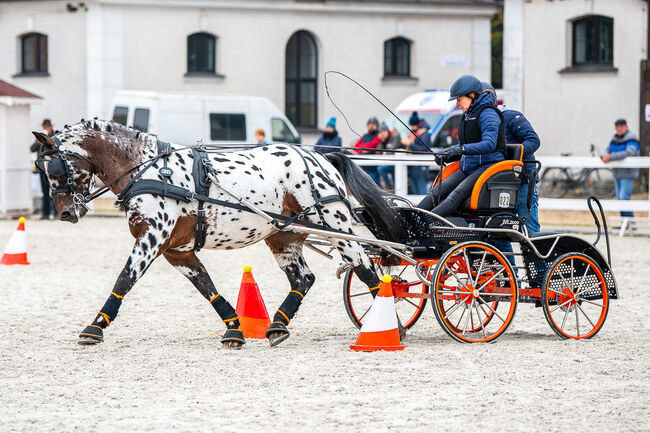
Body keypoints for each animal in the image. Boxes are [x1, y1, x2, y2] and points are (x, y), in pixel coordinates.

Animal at [33, 120, 404, 350]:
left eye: (57, 167)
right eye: (41, 168)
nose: (66, 213)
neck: (148, 169)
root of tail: (319, 156)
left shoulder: (152, 239)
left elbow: (124, 279)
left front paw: (94, 327)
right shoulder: (177, 249)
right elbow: (207, 288)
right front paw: (234, 329)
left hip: (336, 227)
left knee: (366, 269)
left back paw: (388, 327)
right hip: (282, 235)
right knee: (304, 279)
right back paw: (277, 326)